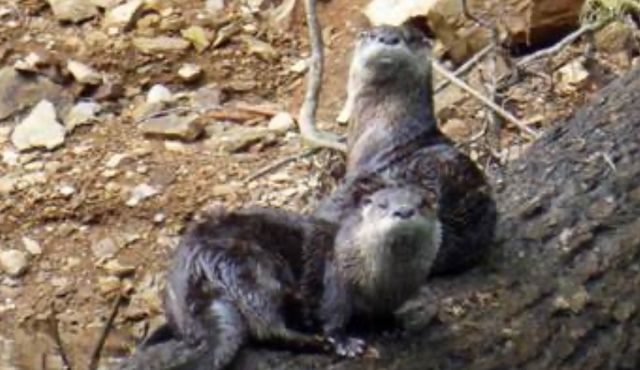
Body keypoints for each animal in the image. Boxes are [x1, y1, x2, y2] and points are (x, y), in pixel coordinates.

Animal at [120, 186, 440, 368]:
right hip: (253, 270)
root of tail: (197, 267)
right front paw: (344, 342)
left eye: (422, 203)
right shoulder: (336, 277)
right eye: (382, 205)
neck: (384, 282)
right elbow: (333, 314)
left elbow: (386, 315)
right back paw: (315, 342)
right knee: (267, 327)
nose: (403, 211)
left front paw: (393, 325)